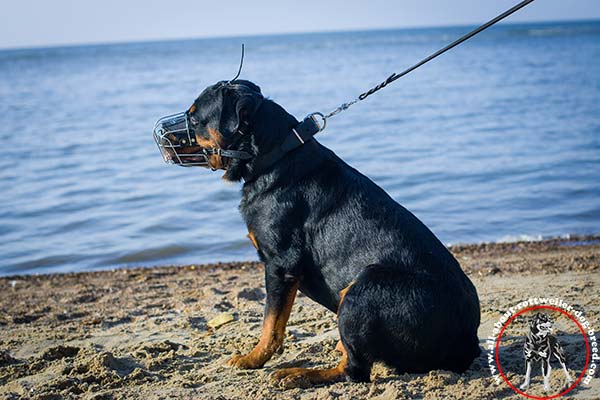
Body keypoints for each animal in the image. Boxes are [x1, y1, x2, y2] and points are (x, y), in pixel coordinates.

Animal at [152, 79, 480, 386]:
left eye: (194, 119)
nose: (160, 136)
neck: (274, 156)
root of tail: (468, 341)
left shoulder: (280, 265)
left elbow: (270, 324)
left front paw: (252, 359)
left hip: (364, 288)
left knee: (355, 371)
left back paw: (299, 375)